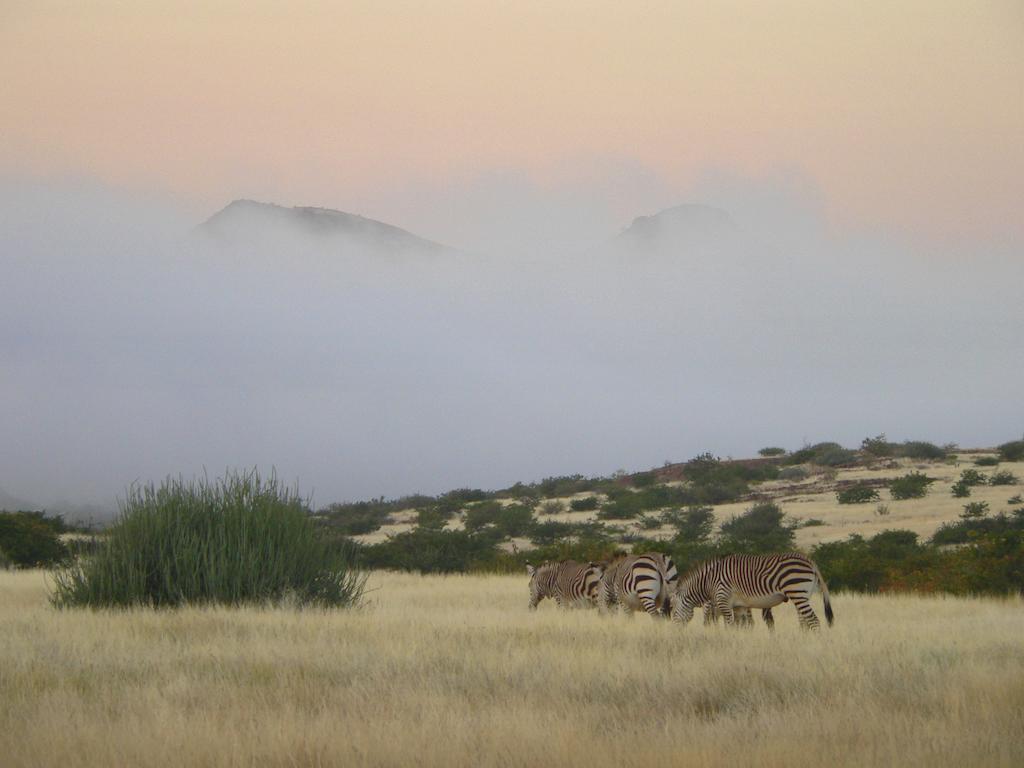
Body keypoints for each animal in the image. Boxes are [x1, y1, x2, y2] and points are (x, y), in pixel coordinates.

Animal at [671, 557, 831, 634]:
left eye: (673, 610)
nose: (675, 633)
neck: (709, 581)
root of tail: (810, 562)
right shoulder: (739, 606)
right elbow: (742, 626)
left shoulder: (724, 602)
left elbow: (730, 626)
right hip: (803, 595)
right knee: (804, 621)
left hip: (797, 593)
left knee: (814, 621)